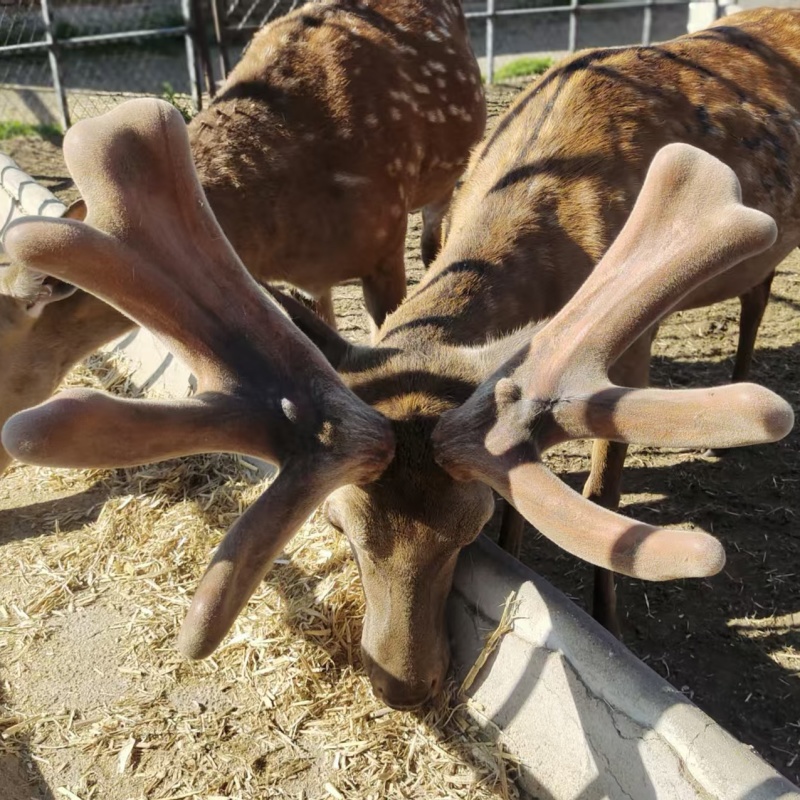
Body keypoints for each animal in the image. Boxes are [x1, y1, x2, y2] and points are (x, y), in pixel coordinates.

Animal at [1, 80, 793, 711]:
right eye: (341, 528)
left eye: (471, 528)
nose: (402, 686)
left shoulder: (631, 352)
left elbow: (598, 492)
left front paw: (607, 617)